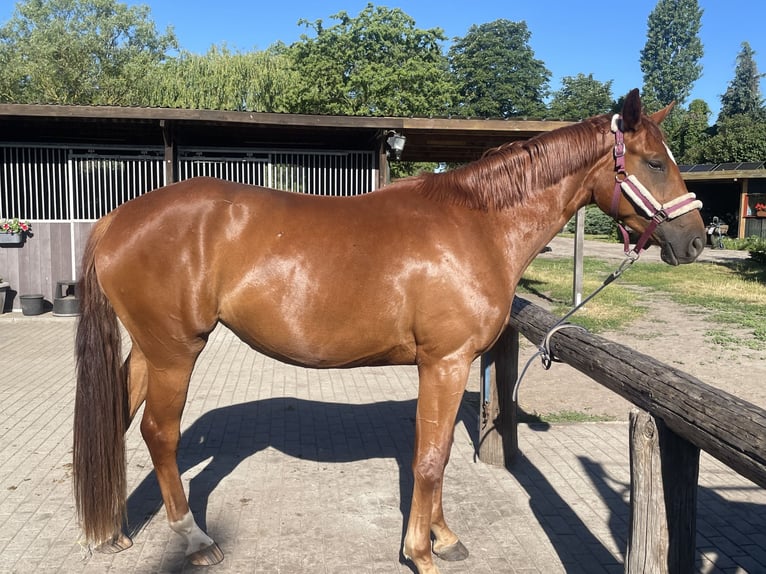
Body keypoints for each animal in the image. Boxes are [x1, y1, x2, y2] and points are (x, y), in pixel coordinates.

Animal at [73, 89, 705, 574]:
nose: (697, 240)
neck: (476, 223)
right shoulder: (445, 361)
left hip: (148, 352)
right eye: (654, 162)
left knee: (119, 419)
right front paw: (420, 552)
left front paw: (444, 538)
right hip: (175, 352)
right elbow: (429, 458)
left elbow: (439, 451)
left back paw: (113, 531)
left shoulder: (446, 366)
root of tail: (116, 219)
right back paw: (195, 538)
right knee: (159, 433)